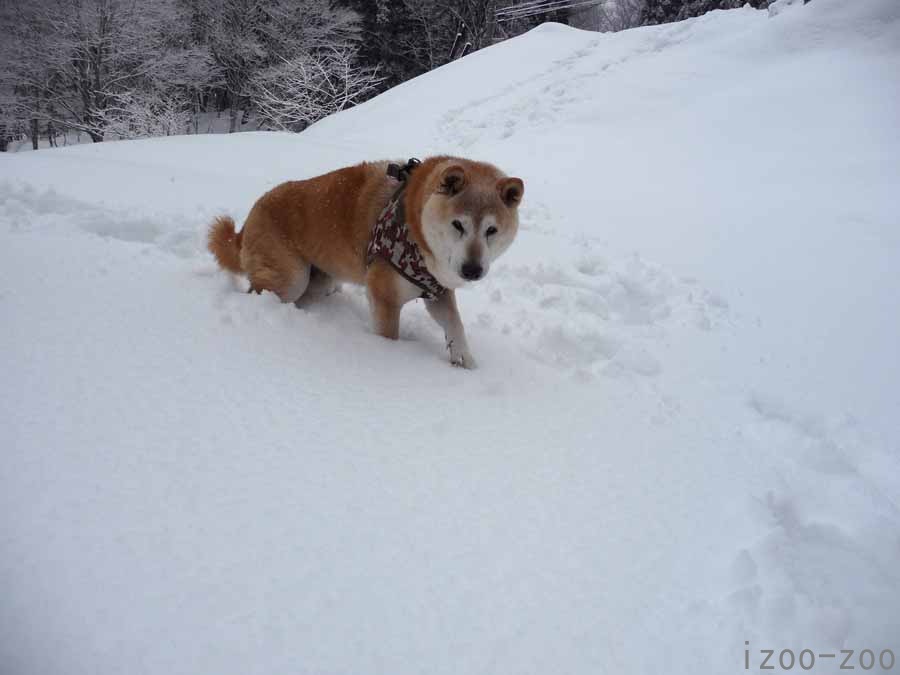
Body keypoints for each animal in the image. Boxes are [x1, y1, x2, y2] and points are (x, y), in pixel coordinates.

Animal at [208, 156, 524, 370]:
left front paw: (466, 362)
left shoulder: (438, 292)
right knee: (258, 292)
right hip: (291, 277)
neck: (414, 227)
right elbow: (389, 336)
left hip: (320, 278)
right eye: (458, 225)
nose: (472, 270)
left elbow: (455, 327)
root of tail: (245, 225)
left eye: (492, 230)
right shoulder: (385, 296)